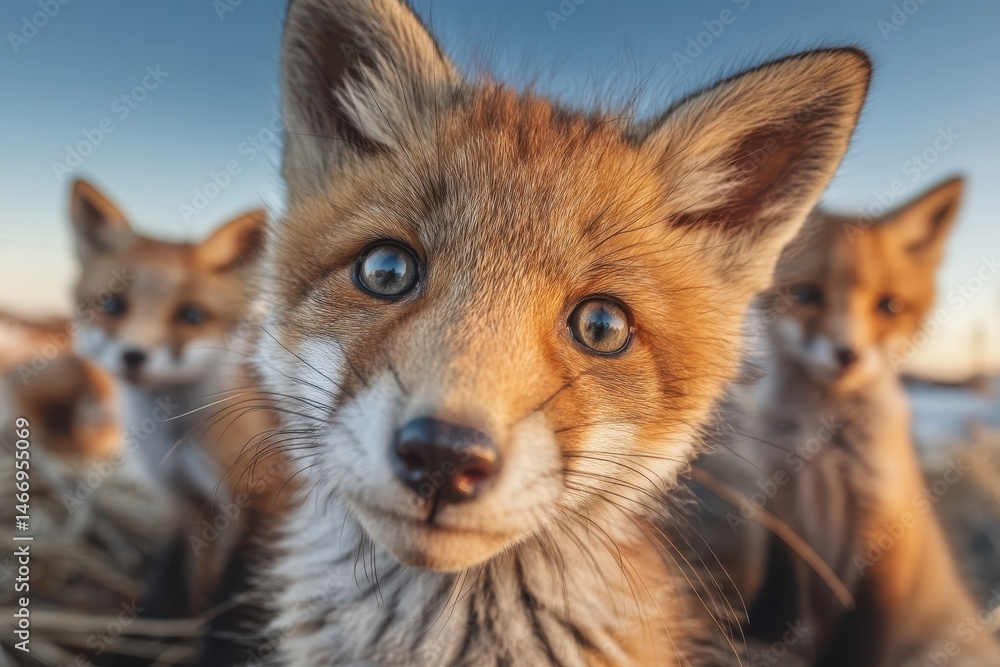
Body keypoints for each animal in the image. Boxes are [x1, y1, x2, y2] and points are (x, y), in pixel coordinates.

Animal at [692, 177, 1000, 665]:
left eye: (890, 306)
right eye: (805, 295)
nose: (847, 355)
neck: (820, 443)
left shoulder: (884, 518)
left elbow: (863, 627)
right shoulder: (780, 497)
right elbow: (778, 583)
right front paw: (759, 632)